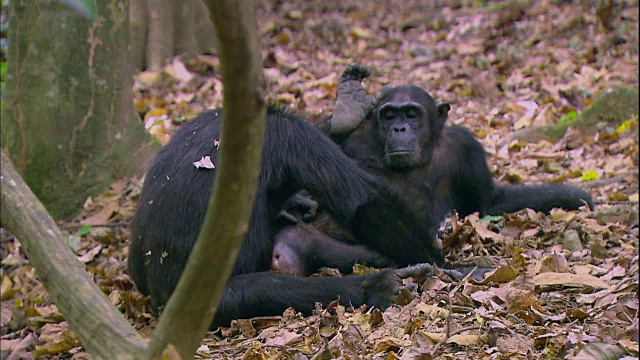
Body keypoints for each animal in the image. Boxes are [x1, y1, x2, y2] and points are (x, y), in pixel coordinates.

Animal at [127, 65, 438, 330]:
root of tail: (156, 305)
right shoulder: (292, 136)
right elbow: (362, 201)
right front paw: (441, 261)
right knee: (264, 290)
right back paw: (375, 286)